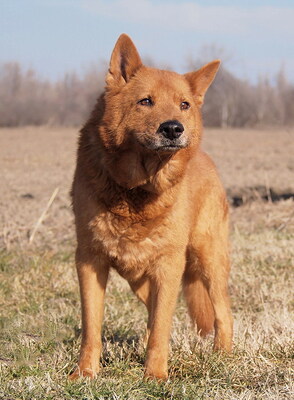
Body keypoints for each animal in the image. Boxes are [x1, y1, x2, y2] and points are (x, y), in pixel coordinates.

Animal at [69, 32, 232, 380]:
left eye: (184, 104)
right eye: (145, 101)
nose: (173, 128)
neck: (137, 189)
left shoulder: (169, 265)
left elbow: (161, 327)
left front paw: (155, 375)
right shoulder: (90, 260)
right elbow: (92, 326)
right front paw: (85, 373)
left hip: (208, 257)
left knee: (223, 312)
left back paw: (224, 355)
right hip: (141, 277)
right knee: (152, 310)